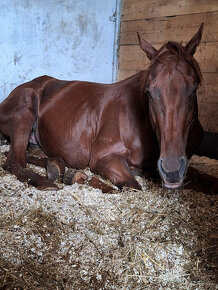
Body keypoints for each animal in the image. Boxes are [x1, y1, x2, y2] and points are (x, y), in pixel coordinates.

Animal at [0, 23, 204, 190]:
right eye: (148, 91)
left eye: (194, 87)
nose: (172, 171)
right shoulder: (104, 158)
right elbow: (132, 185)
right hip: (25, 108)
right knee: (14, 162)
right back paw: (49, 181)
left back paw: (56, 166)